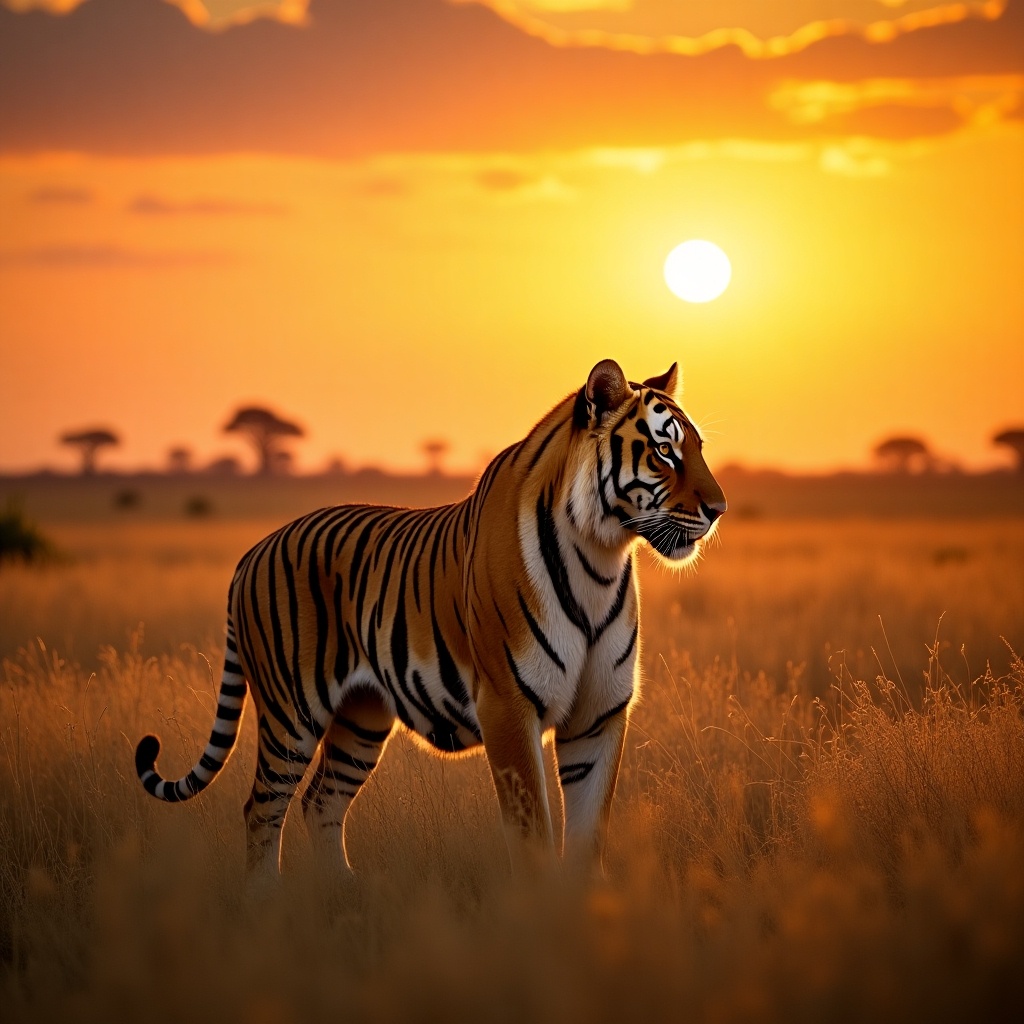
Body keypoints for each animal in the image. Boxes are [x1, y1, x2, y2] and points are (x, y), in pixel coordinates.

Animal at [136, 360, 724, 880]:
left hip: (362, 716)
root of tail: (253, 551)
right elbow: (532, 834)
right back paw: (267, 905)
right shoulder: (508, 707)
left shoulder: (599, 715)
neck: (600, 557)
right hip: (291, 712)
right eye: (665, 450)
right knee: (262, 808)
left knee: (320, 801)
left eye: (697, 448)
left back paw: (346, 896)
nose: (719, 509)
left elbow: (587, 837)